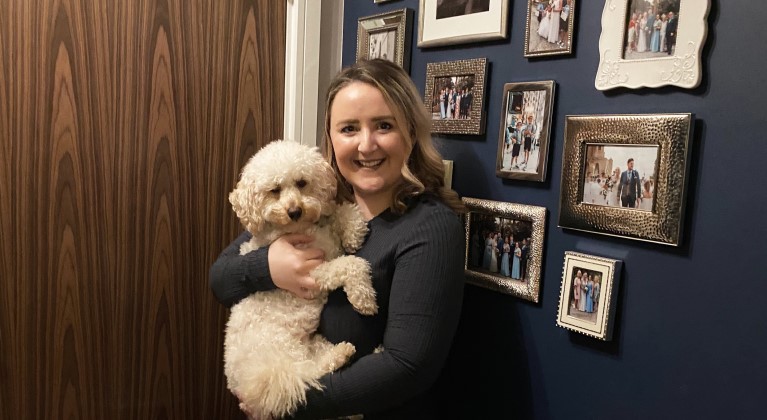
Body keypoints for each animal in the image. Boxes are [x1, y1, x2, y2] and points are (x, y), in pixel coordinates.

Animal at [222, 140, 378, 416]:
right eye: (274, 190)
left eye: (302, 182)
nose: (295, 211)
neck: (300, 229)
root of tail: (249, 388)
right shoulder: (311, 274)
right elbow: (350, 264)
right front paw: (364, 299)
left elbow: (340, 213)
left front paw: (353, 231)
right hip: (282, 358)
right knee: (306, 376)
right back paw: (339, 355)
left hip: (308, 346)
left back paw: (344, 353)